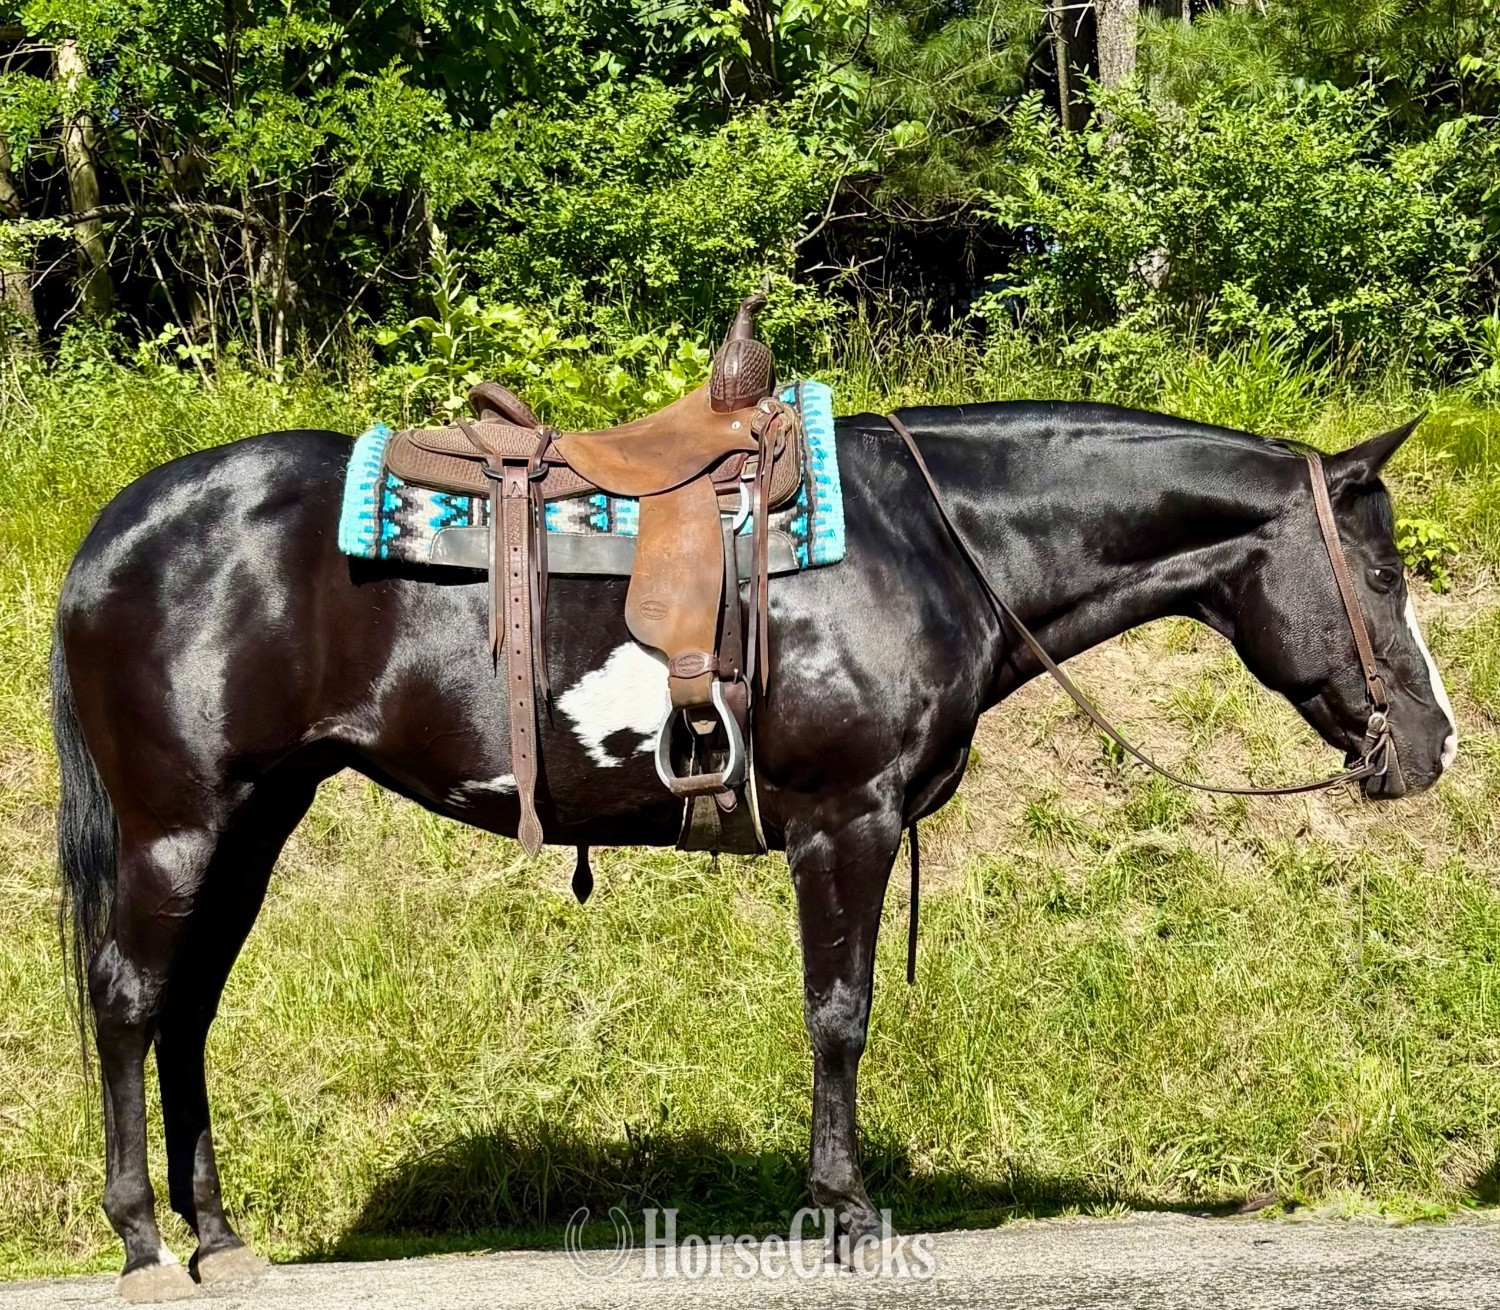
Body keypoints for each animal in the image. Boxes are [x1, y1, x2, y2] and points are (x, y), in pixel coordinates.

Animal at [52, 399, 1457, 1299]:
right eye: (1383, 576)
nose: (1435, 743)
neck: (925, 543)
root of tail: (113, 533)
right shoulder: (848, 819)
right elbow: (839, 1013)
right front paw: (848, 1214)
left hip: (257, 817)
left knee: (187, 1013)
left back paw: (220, 1238)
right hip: (182, 823)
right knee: (129, 1002)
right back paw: (142, 1242)